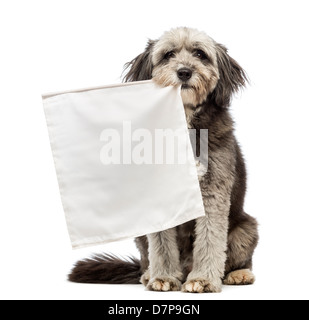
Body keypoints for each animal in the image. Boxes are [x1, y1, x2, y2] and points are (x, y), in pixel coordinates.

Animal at [68, 27, 258, 292]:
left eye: (200, 54)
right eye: (168, 55)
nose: (184, 72)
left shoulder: (213, 192)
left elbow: (210, 238)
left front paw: (203, 279)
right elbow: (161, 243)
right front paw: (164, 277)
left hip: (246, 228)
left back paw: (238, 273)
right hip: (140, 231)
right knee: (145, 260)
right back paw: (149, 274)